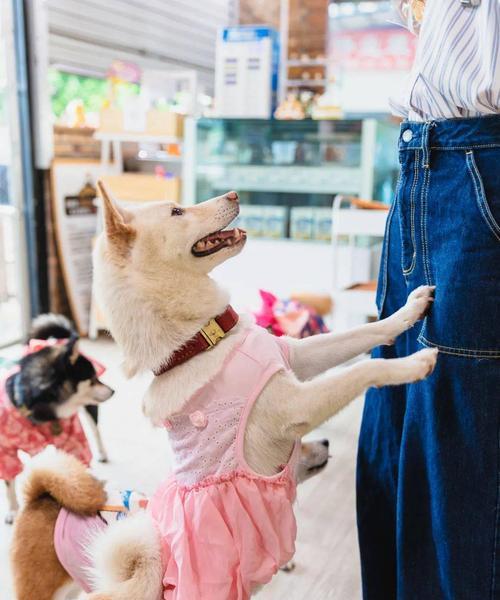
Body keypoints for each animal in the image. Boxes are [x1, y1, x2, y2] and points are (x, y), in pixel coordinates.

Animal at [84, 185, 436, 596]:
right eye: (176, 211)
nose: (235, 194)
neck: (201, 342)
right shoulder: (296, 406)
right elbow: (364, 368)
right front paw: (413, 364)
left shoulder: (296, 356)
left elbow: (362, 334)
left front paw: (409, 310)